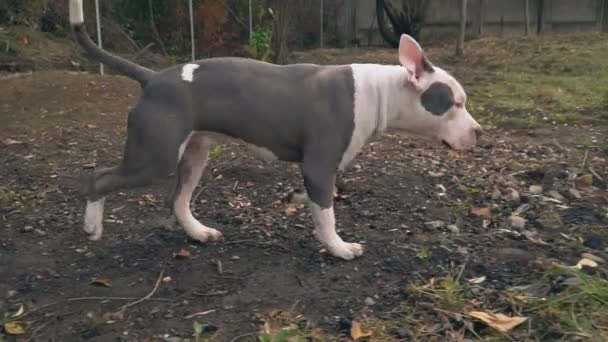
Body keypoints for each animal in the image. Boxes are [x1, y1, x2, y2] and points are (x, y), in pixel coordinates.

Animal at [70, 0, 480, 260]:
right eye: (455, 103)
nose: (479, 133)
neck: (379, 91)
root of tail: (153, 77)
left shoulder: (319, 171)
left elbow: (321, 200)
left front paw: (299, 204)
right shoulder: (318, 165)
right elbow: (328, 214)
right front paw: (339, 248)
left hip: (194, 154)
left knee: (178, 200)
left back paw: (199, 232)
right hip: (156, 157)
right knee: (100, 177)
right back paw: (91, 225)